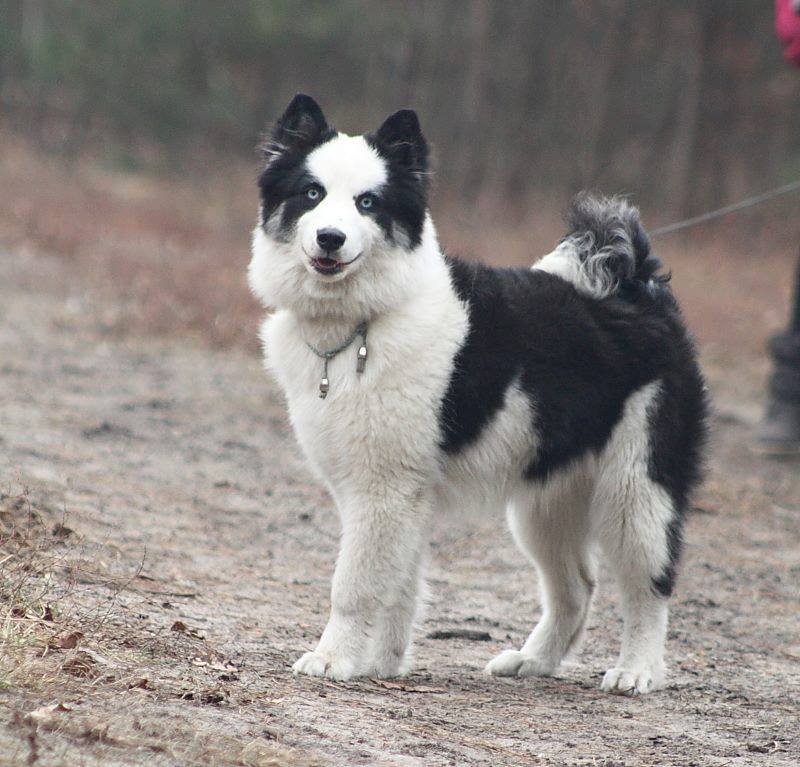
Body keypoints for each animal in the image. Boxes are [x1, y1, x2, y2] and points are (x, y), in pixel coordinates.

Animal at [245, 93, 708, 692]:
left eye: (368, 203)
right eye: (311, 193)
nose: (331, 238)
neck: (367, 319)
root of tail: (637, 289)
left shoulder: (381, 491)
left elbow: (355, 585)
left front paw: (333, 658)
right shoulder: (397, 495)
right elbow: (399, 587)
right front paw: (381, 662)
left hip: (637, 490)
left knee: (648, 586)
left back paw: (637, 671)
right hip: (547, 500)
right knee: (576, 588)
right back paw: (532, 661)